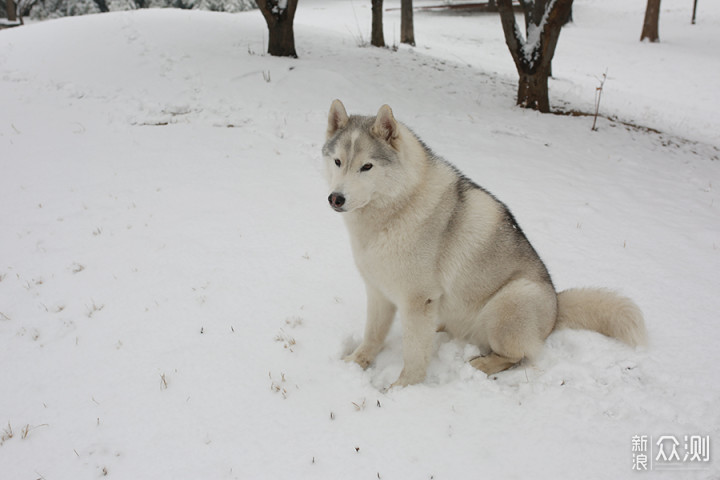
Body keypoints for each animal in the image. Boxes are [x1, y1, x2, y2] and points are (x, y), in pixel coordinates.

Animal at [322, 100, 648, 386]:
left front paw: (402, 389)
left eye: (367, 167)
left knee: (518, 356)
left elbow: (414, 356)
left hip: (507, 303)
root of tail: (556, 307)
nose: (336, 198)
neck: (398, 207)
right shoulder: (378, 292)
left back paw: (481, 364)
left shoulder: (418, 300)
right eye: (338, 162)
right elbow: (372, 336)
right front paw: (356, 363)